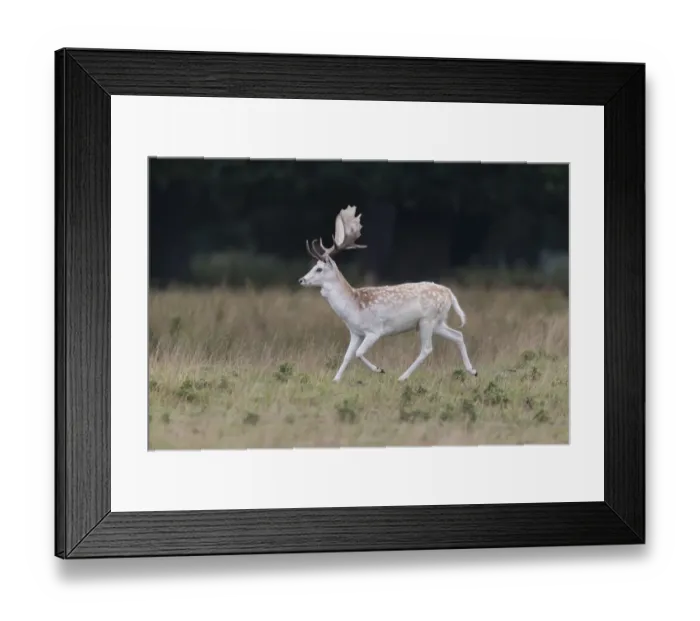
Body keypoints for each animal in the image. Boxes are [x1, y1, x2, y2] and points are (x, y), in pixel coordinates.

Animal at [298, 206, 479, 383]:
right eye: (313, 266)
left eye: (319, 269)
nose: (301, 280)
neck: (353, 307)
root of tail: (450, 293)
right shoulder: (355, 332)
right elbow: (347, 356)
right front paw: (335, 379)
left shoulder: (374, 330)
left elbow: (358, 353)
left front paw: (379, 369)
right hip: (438, 321)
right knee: (458, 335)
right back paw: (473, 371)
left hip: (428, 320)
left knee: (427, 349)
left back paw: (402, 377)